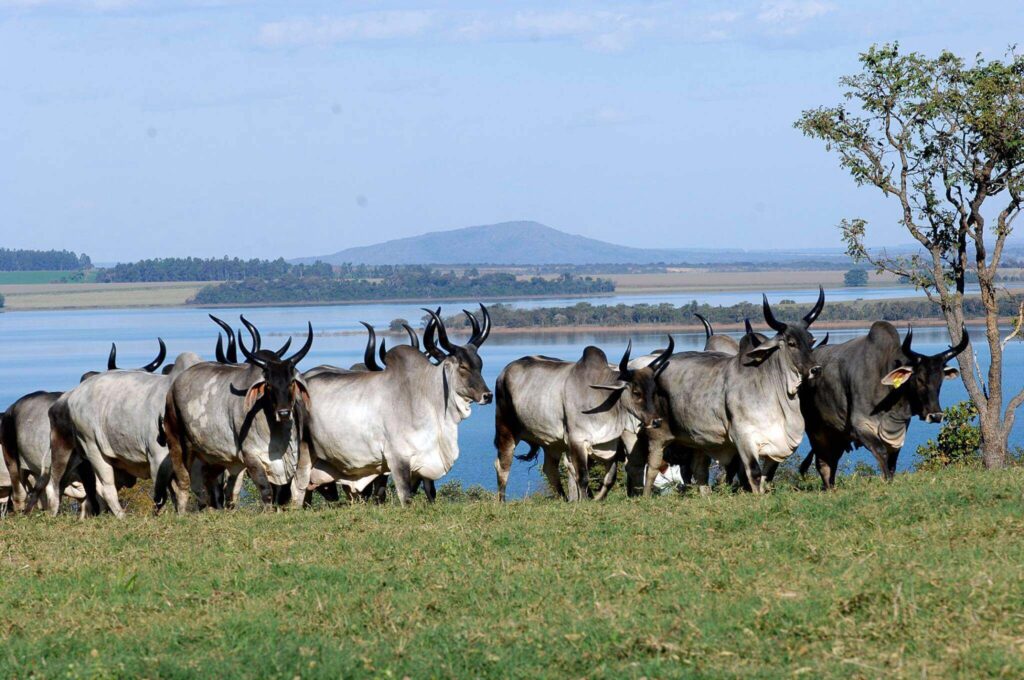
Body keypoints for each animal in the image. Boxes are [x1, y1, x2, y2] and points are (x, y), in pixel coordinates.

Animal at [161, 321, 313, 512]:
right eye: (268, 384)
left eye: (291, 381)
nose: (284, 412)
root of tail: (173, 387)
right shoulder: (251, 456)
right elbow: (265, 488)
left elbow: (281, 492)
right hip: (179, 445)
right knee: (180, 482)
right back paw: (181, 512)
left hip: (213, 456)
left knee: (208, 481)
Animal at [493, 337, 671, 501]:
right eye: (636, 392)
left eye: (654, 391)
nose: (656, 421)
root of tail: (504, 372)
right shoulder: (577, 440)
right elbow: (583, 477)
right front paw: (585, 501)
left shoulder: (609, 445)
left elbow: (610, 477)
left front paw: (597, 498)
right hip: (506, 430)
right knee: (502, 465)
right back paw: (502, 501)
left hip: (552, 442)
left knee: (550, 469)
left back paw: (563, 499)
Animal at [634, 288, 827, 497]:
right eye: (791, 343)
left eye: (810, 340)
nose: (816, 369)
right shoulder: (744, 437)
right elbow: (754, 473)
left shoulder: (775, 444)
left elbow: (767, 475)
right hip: (657, 435)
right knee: (652, 468)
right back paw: (646, 497)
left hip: (698, 440)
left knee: (699, 470)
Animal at [774, 323, 966, 489]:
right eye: (919, 378)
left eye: (940, 380)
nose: (935, 415)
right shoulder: (861, 426)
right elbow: (881, 453)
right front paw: (887, 482)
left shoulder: (897, 434)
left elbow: (892, 462)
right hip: (817, 431)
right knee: (823, 463)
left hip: (837, 435)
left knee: (832, 461)